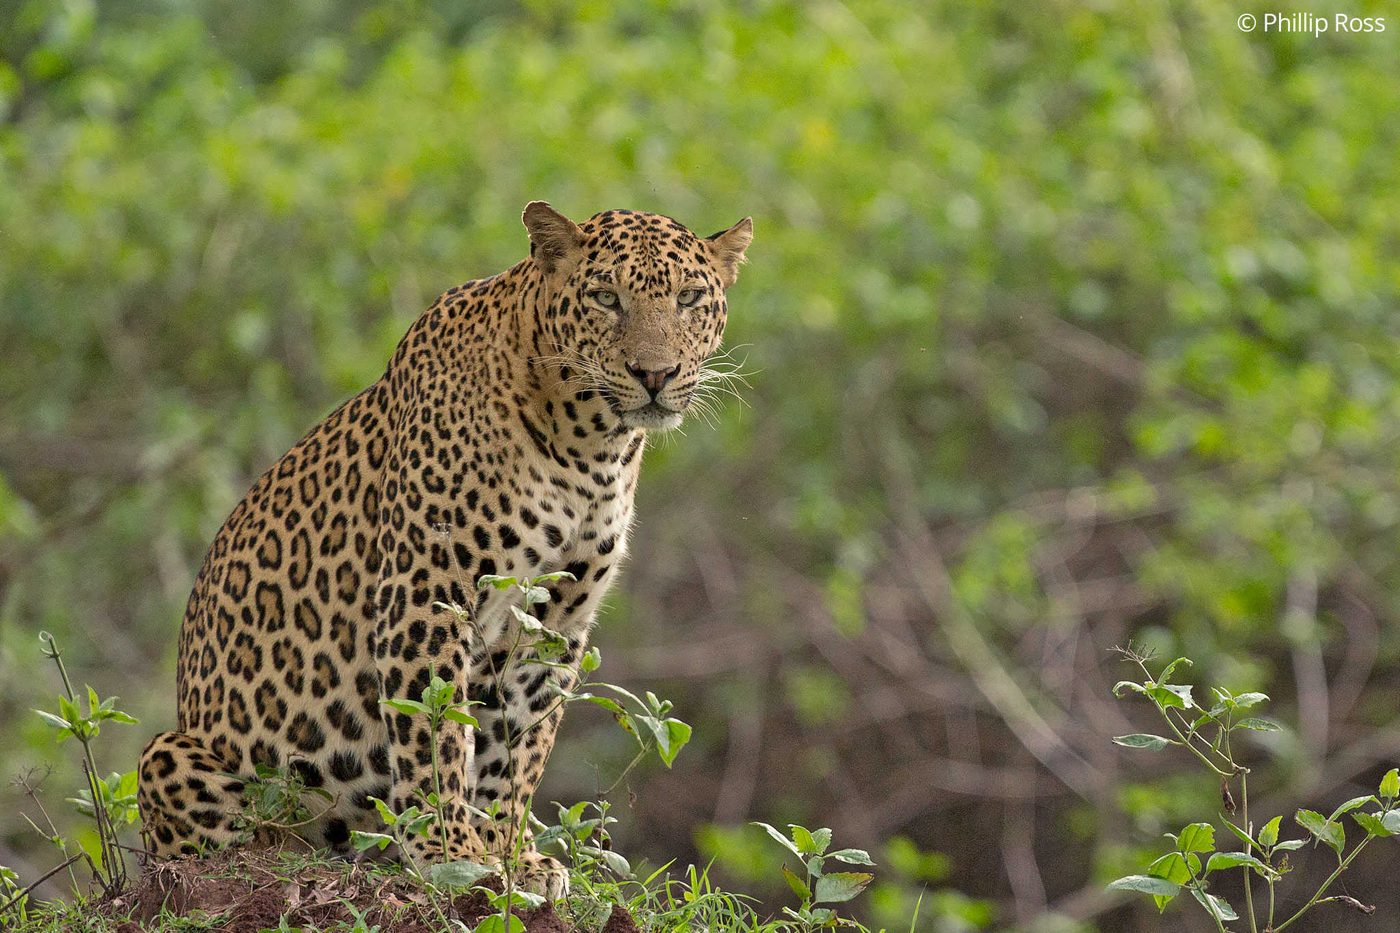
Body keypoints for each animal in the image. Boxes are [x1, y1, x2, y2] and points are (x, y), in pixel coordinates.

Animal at [137, 202, 753, 897]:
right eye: (604, 298)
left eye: (689, 299)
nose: (655, 375)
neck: (590, 447)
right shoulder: (426, 595)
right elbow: (434, 734)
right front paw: (449, 850)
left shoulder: (555, 621)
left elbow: (519, 748)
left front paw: (512, 856)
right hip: (169, 758)